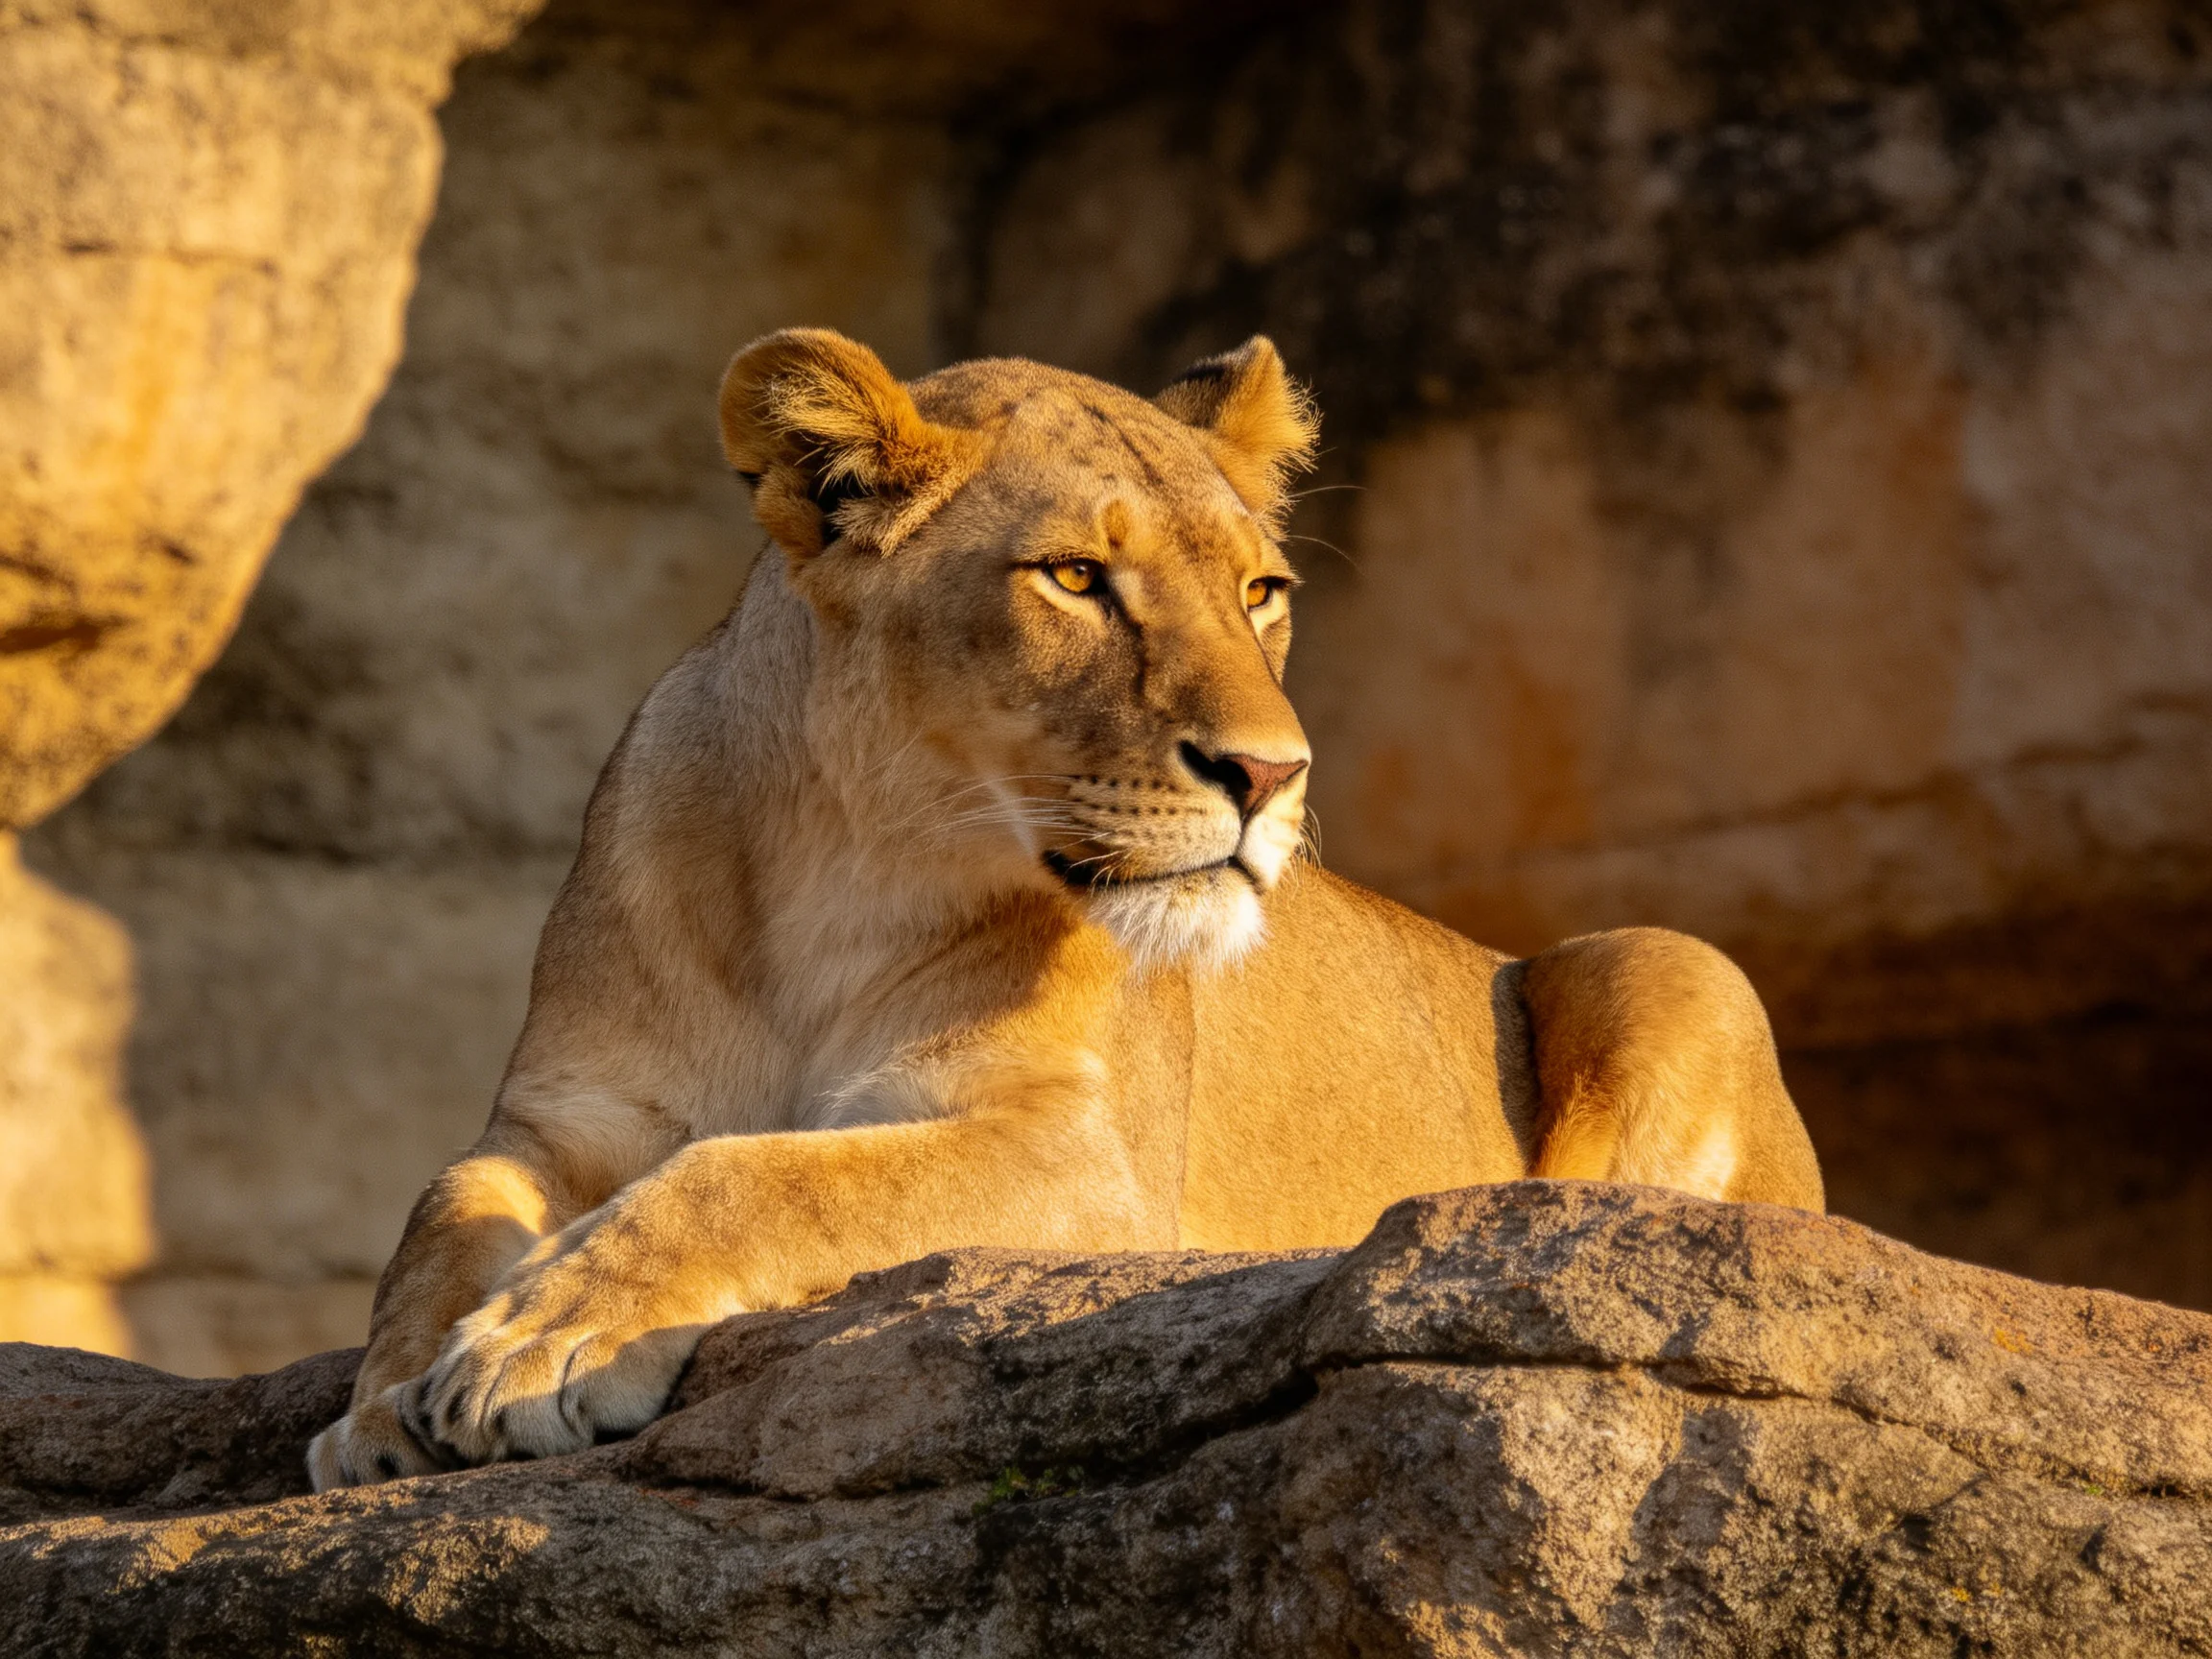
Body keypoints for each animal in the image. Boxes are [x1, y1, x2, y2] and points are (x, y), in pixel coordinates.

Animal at [308, 328, 1823, 1488]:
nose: (1273, 776)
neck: (836, 873)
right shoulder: (568, 1116)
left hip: (1666, 959)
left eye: (1261, 591)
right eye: (1077, 578)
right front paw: (380, 1412)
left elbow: (759, 1170)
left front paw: (538, 1344)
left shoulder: (1090, 1167)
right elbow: (444, 1206)